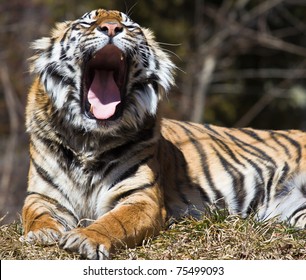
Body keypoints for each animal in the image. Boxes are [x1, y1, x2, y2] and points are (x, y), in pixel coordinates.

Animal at [20, 7, 306, 260]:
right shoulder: (42, 196)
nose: (112, 28)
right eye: (87, 22)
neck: (90, 140)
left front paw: (84, 238)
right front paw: (42, 234)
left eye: (129, 25)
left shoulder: (141, 198)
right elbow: (36, 215)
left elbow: (114, 222)